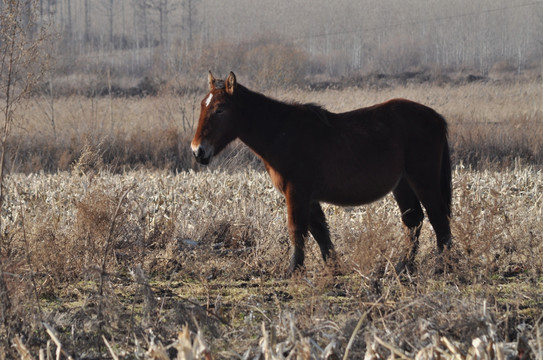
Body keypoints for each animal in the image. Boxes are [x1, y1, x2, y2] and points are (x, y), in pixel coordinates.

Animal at [191, 71, 454, 276]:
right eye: (203, 105)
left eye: (220, 109)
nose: (197, 151)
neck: (281, 133)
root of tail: (436, 118)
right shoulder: (309, 196)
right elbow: (319, 231)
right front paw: (334, 268)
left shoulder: (296, 192)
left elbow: (297, 229)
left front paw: (293, 270)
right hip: (403, 184)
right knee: (413, 220)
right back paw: (403, 267)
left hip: (423, 180)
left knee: (438, 218)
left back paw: (444, 267)